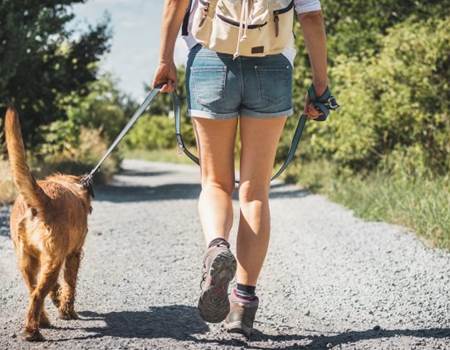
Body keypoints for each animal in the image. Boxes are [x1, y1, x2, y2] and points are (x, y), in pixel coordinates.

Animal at [4, 107, 92, 342]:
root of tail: (42, 200)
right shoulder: (73, 255)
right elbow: (70, 284)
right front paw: (67, 310)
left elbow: (57, 288)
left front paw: (57, 300)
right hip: (53, 261)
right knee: (36, 295)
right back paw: (32, 331)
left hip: (27, 262)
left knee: (33, 290)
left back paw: (41, 321)